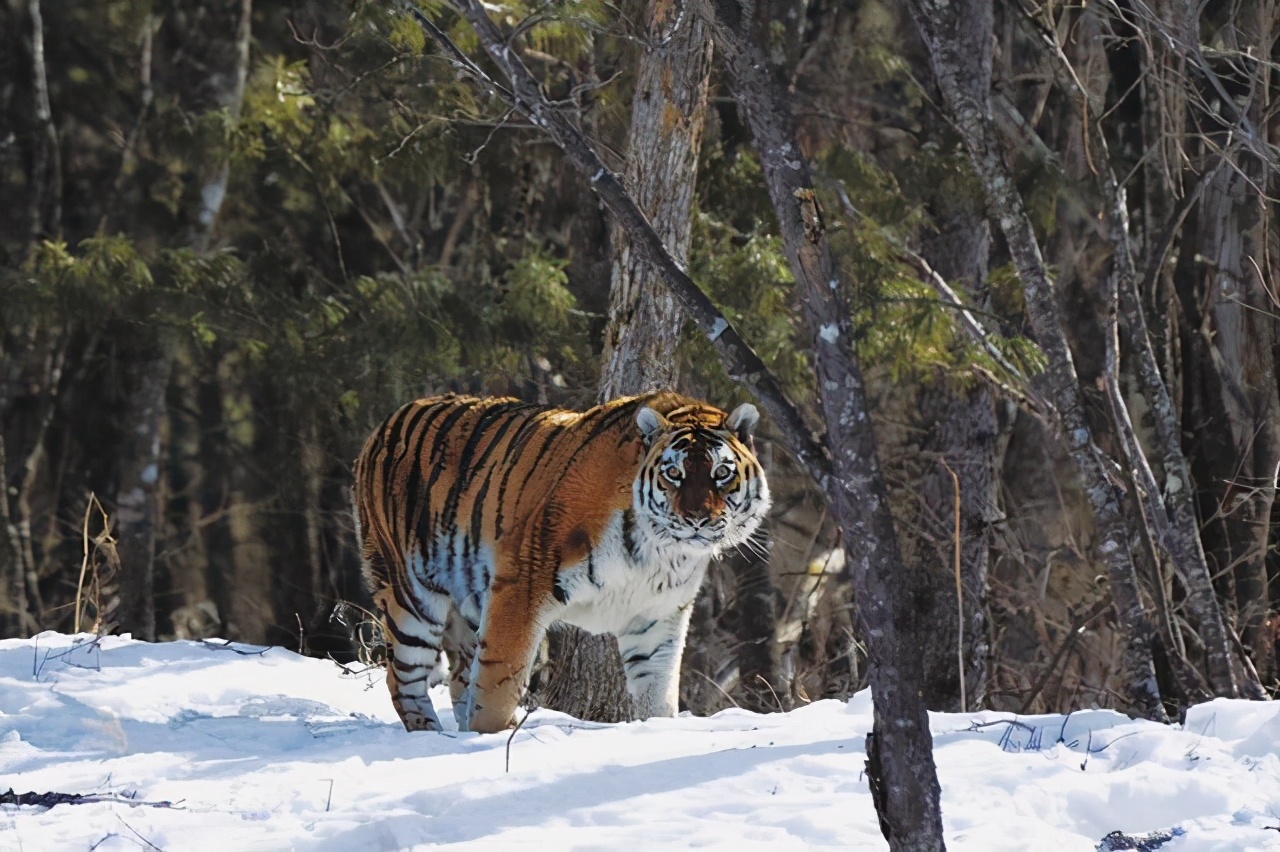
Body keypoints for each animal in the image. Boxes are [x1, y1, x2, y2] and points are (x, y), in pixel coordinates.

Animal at [350, 391, 768, 731]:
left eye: (721, 473)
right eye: (674, 474)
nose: (698, 519)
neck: (660, 551)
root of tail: (386, 422)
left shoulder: (657, 615)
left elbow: (657, 693)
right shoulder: (521, 586)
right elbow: (498, 682)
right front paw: (492, 740)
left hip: (467, 601)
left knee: (457, 677)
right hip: (411, 594)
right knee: (402, 677)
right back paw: (431, 738)